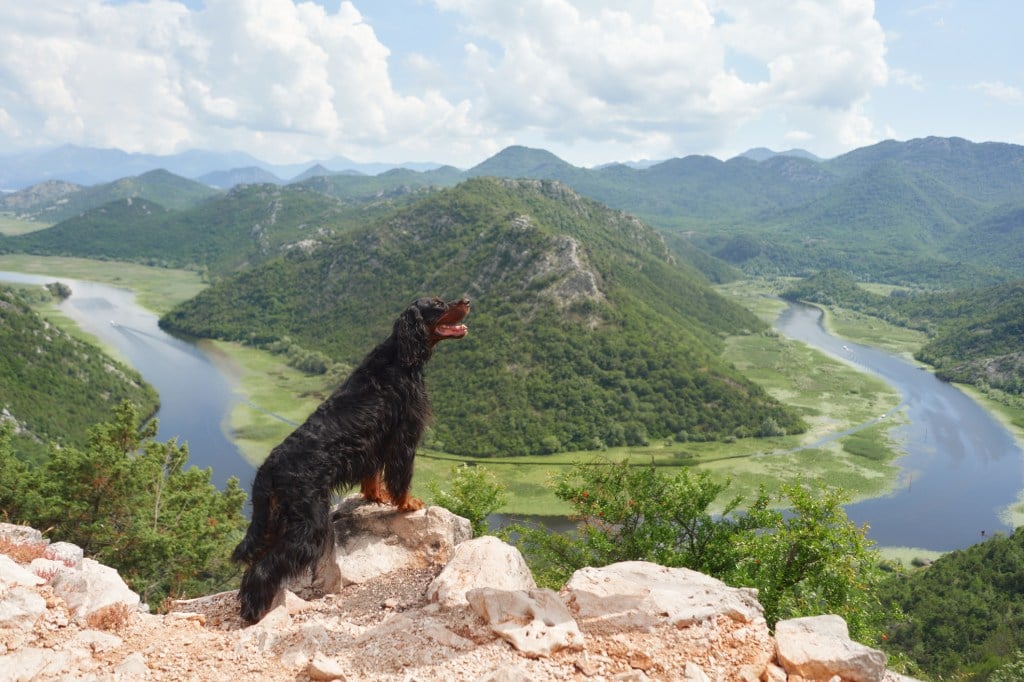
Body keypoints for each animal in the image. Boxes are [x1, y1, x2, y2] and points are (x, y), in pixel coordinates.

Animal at [231, 294, 468, 618]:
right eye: (438, 304)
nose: (467, 300)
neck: (400, 357)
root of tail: (269, 467)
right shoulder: (404, 435)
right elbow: (401, 475)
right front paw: (407, 503)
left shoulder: (376, 442)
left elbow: (373, 475)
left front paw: (375, 495)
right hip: (309, 523)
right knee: (265, 567)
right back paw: (255, 612)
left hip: (276, 519)